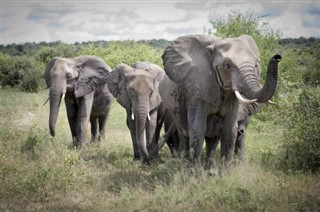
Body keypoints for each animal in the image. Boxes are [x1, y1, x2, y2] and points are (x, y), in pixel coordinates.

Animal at [159, 34, 280, 170]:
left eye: (255, 66)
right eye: (227, 66)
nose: (277, 57)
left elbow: (230, 130)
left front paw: (225, 173)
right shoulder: (197, 90)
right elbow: (197, 128)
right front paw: (195, 174)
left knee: (212, 138)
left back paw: (210, 170)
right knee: (184, 134)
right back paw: (183, 166)